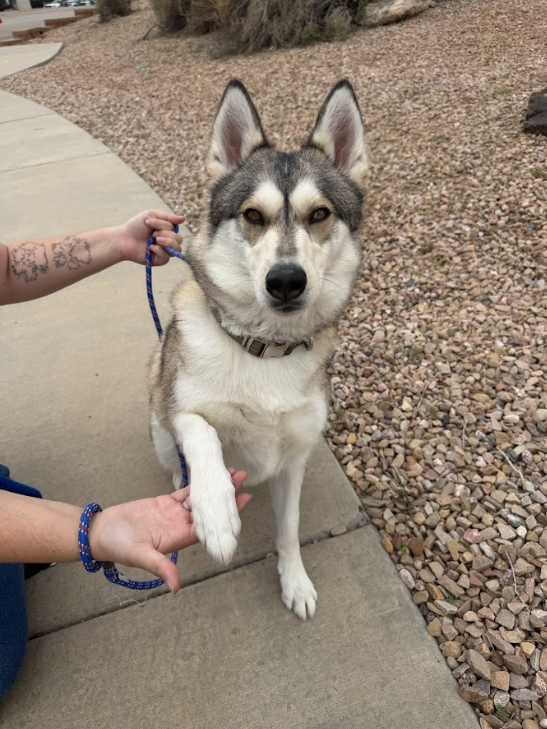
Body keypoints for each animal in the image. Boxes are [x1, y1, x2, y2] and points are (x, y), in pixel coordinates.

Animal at [148, 79, 368, 620]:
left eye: (319, 214)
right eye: (252, 215)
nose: (286, 280)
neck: (264, 348)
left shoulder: (294, 459)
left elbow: (289, 530)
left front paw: (295, 582)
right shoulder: (178, 407)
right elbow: (200, 430)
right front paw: (215, 512)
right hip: (155, 419)